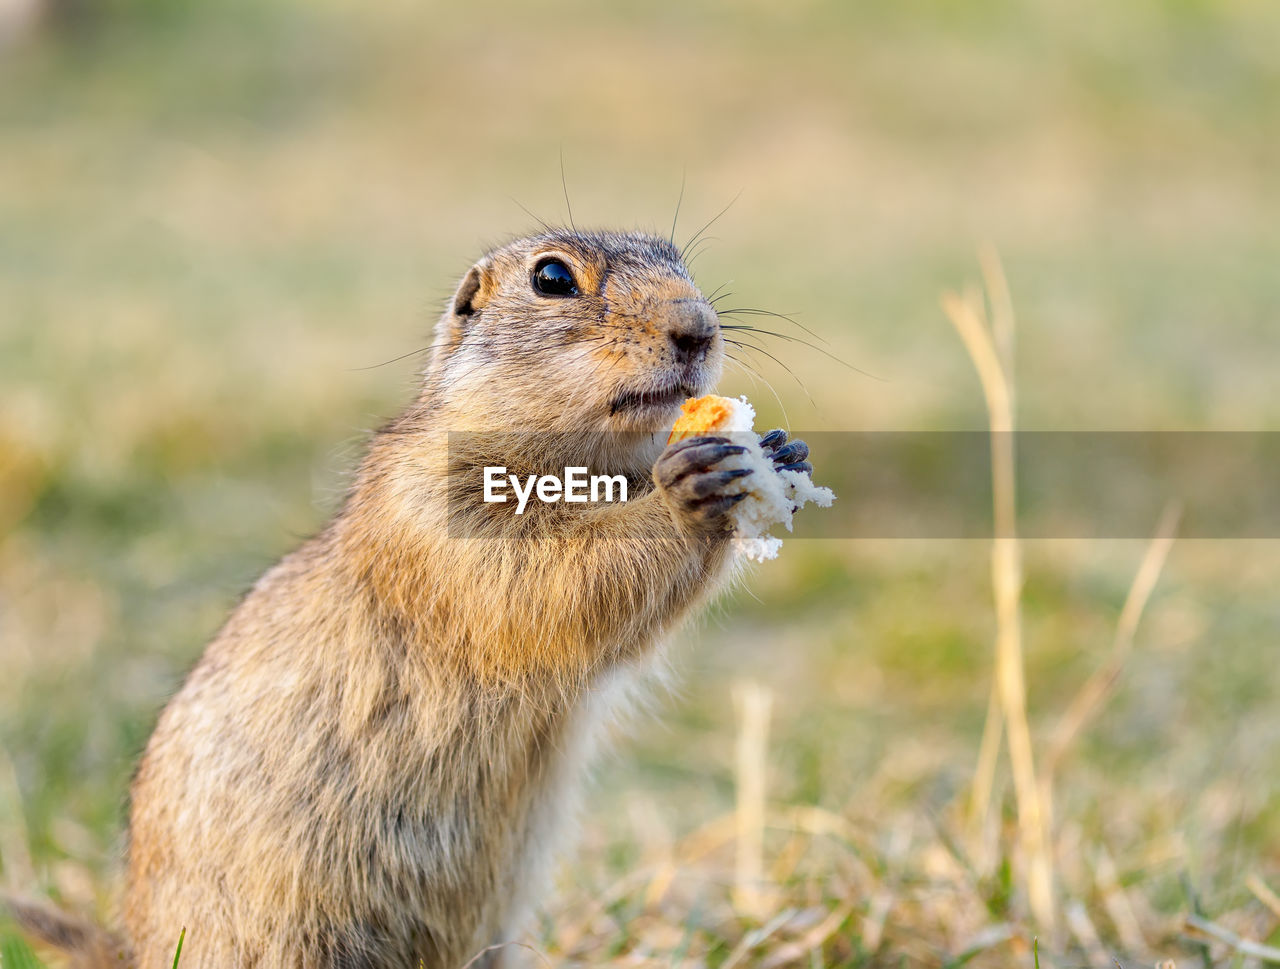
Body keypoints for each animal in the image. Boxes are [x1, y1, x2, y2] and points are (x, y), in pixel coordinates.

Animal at [7, 229, 808, 967]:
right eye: (551, 277)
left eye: (679, 258)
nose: (698, 327)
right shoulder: (428, 507)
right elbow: (538, 584)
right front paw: (691, 487)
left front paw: (781, 450)